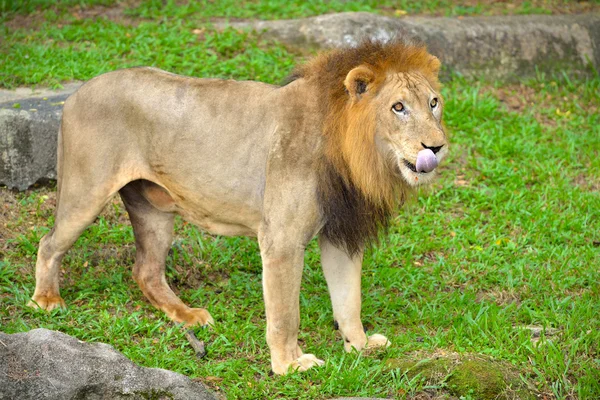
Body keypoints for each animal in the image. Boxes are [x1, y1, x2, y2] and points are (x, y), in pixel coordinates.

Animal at [30, 37, 448, 376]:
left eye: (433, 103)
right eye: (398, 107)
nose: (437, 146)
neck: (358, 156)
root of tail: (77, 92)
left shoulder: (340, 234)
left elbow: (349, 299)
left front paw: (360, 346)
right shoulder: (281, 240)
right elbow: (285, 313)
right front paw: (290, 365)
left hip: (154, 208)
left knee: (145, 271)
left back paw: (189, 317)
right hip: (86, 191)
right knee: (49, 243)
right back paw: (46, 301)